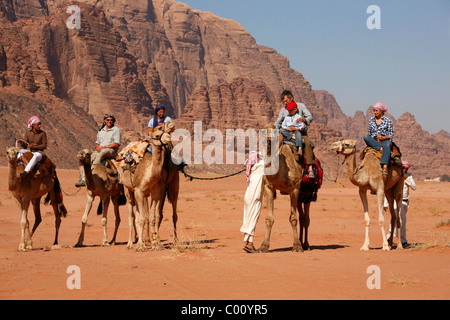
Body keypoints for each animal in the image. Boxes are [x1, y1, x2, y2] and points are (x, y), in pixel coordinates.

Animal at [119, 121, 179, 251]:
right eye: (157, 133)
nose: (170, 123)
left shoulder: (156, 193)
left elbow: (152, 218)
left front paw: (155, 244)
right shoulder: (139, 191)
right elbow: (142, 218)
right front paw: (141, 246)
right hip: (128, 190)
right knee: (132, 216)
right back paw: (130, 243)